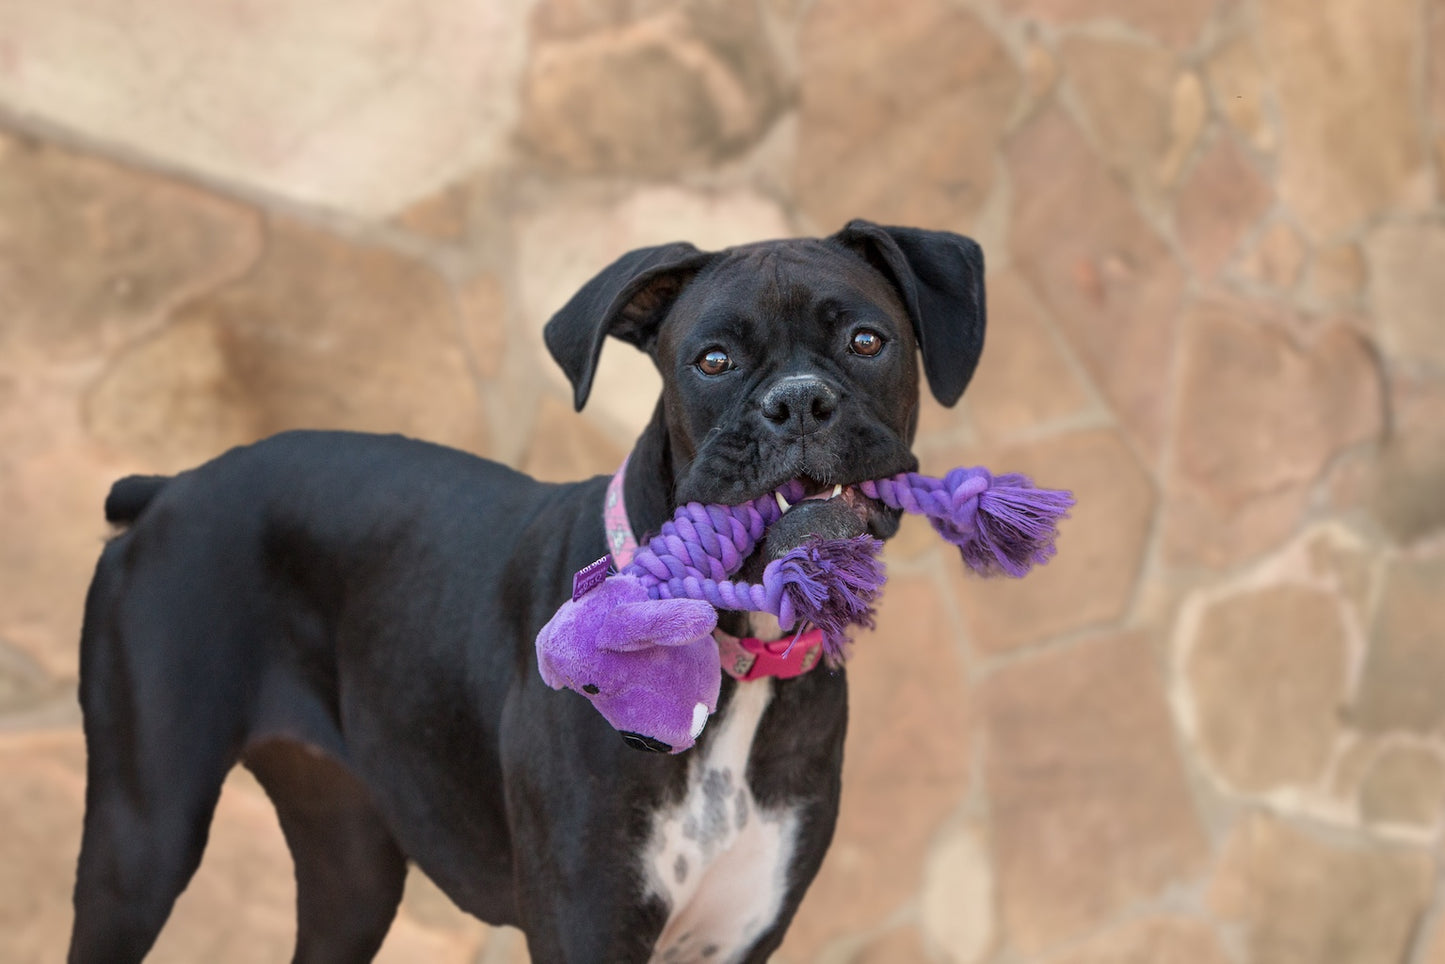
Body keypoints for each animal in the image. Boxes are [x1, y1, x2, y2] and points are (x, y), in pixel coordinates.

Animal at [67, 221, 982, 964]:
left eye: (866, 340)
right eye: (713, 361)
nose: (796, 402)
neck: (735, 649)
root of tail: (170, 488)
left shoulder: (735, 934)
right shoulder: (586, 925)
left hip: (351, 866)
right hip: (141, 843)